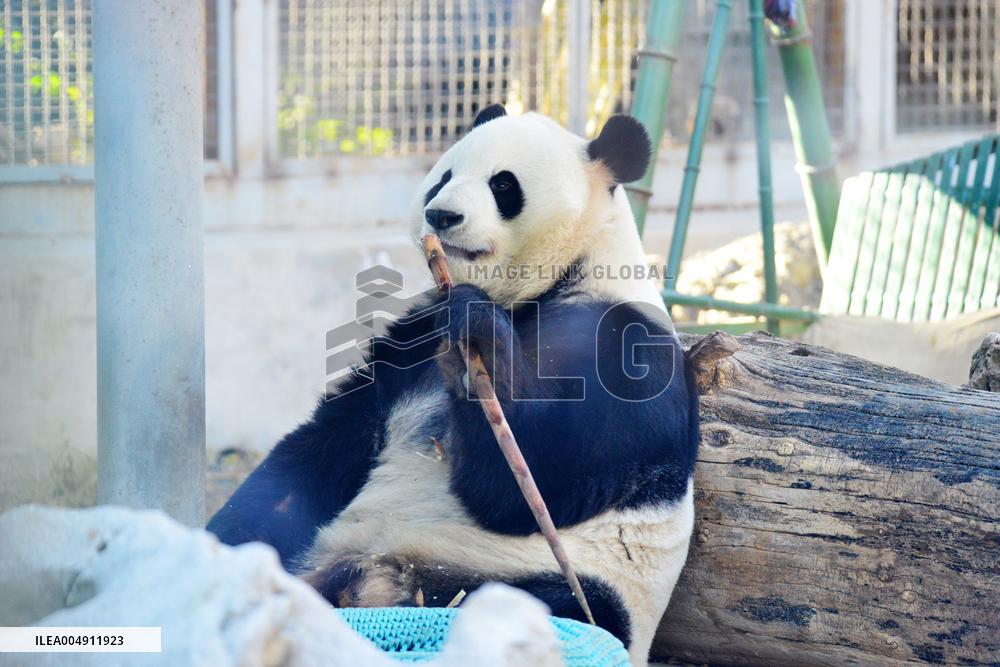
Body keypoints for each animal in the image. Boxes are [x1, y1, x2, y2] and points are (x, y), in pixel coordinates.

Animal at [208, 105, 700, 666]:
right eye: (443, 177)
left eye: (503, 185)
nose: (441, 216)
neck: (540, 288)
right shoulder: (413, 341)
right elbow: (327, 446)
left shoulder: (624, 345)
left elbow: (537, 482)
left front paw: (480, 340)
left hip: (555, 579)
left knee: (550, 607)